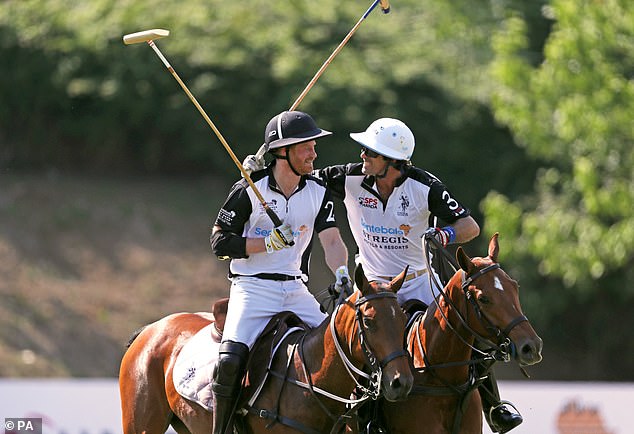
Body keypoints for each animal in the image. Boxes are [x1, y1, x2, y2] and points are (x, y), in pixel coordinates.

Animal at [120, 264, 412, 434]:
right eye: (369, 321)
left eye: (402, 318)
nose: (401, 383)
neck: (311, 380)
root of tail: (149, 328)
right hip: (141, 424)